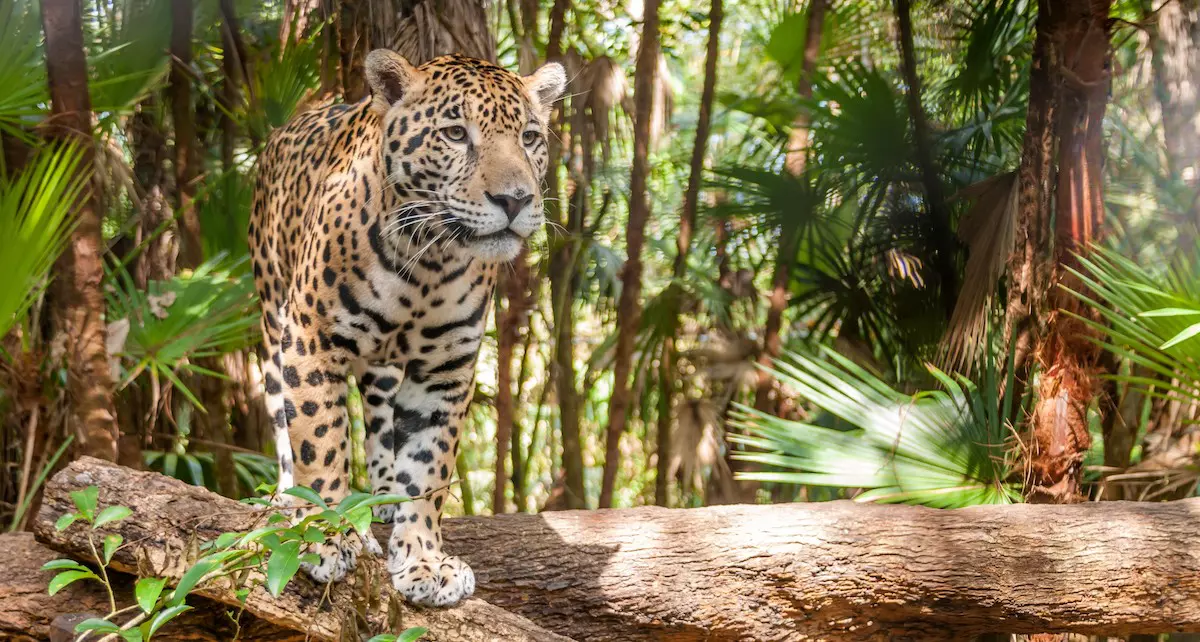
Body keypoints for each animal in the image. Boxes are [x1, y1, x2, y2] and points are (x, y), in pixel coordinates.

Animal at [248, 48, 565, 607]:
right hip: (271, 321)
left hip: (383, 366)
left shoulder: (445, 370)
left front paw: (423, 559)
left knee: (378, 417)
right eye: (456, 133)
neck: (428, 263)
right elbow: (320, 441)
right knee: (284, 423)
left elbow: (428, 464)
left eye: (529, 137)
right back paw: (289, 500)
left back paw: (382, 497)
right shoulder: (311, 341)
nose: (516, 200)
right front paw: (326, 537)